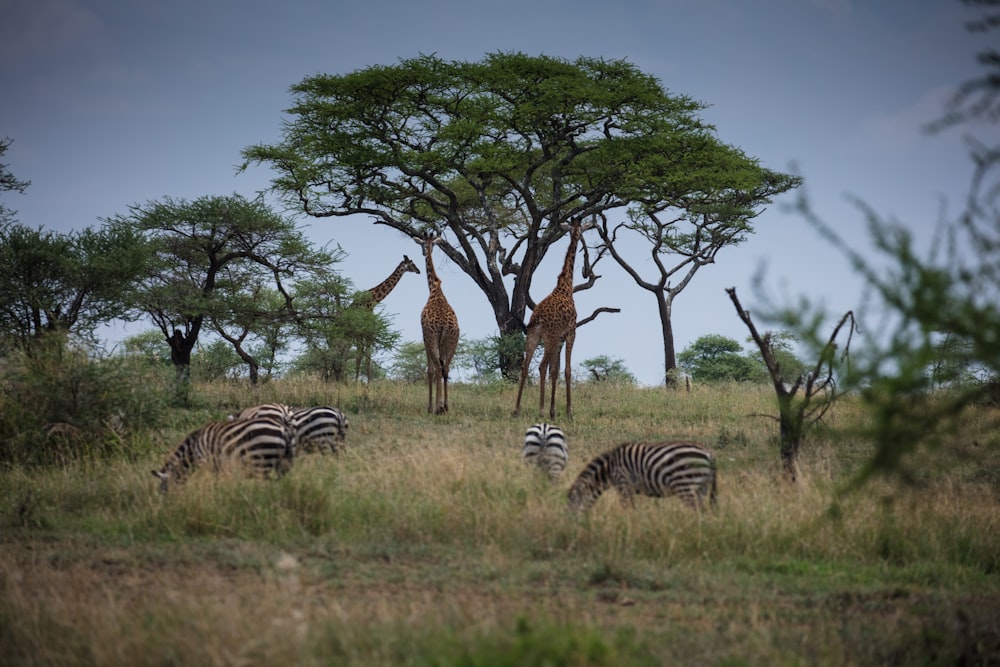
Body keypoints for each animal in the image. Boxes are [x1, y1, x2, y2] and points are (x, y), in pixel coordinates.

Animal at [150, 418, 294, 496]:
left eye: (164, 490)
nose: (166, 506)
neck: (193, 448)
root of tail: (283, 428)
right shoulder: (217, 466)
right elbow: (217, 482)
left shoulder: (205, 462)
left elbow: (211, 482)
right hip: (282, 463)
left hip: (262, 462)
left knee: (264, 486)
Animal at [516, 217, 592, 420]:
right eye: (581, 230)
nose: (580, 236)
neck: (565, 286)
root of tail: (538, 319)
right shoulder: (570, 333)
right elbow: (566, 370)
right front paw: (568, 411)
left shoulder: (559, 339)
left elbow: (555, 371)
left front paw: (553, 410)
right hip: (549, 337)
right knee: (541, 366)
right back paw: (541, 410)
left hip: (533, 336)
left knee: (525, 366)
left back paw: (516, 410)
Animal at [568, 444, 716, 512]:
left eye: (572, 507)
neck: (610, 468)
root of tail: (708, 454)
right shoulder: (627, 488)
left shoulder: (623, 484)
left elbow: (627, 509)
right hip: (701, 487)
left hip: (686, 485)